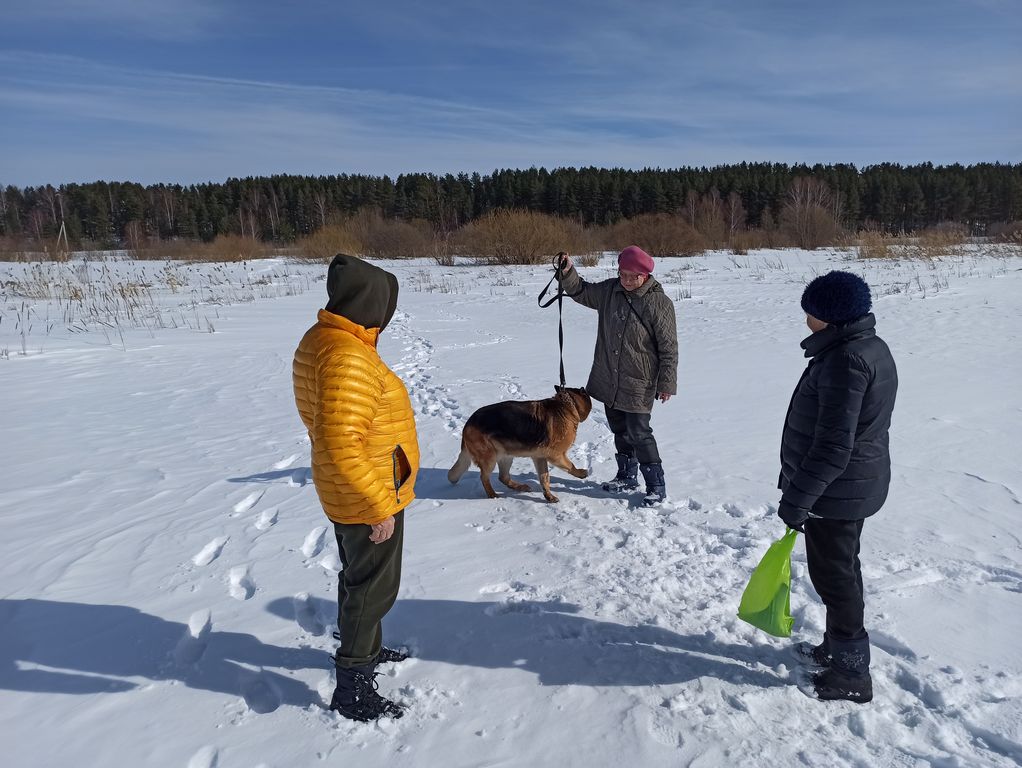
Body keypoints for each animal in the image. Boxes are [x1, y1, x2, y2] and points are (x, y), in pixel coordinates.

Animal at [448, 386, 592, 503]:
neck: (566, 405)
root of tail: (467, 425)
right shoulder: (556, 456)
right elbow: (570, 466)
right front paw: (581, 473)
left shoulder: (540, 457)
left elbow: (544, 478)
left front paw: (548, 496)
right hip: (490, 458)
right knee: (484, 477)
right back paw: (492, 495)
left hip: (506, 456)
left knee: (503, 477)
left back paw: (520, 487)